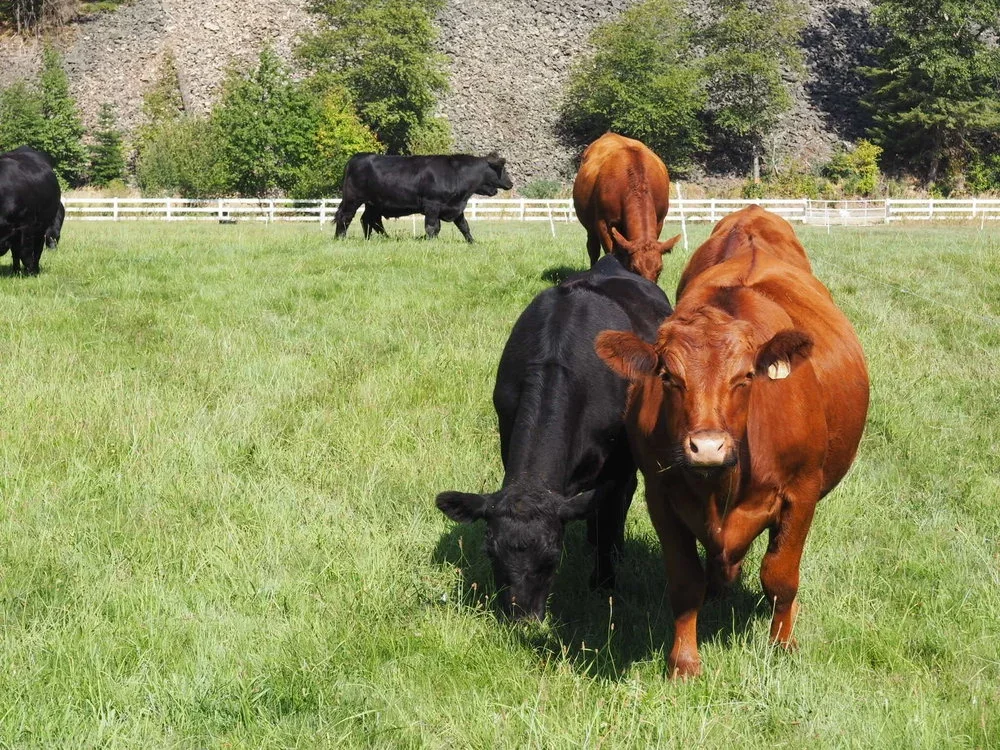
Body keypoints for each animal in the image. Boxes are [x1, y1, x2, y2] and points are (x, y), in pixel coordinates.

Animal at [0, 146, 61, 275]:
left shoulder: (26, 225)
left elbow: (25, 252)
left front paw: (30, 271)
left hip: (41, 226)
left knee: (37, 248)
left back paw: (34, 269)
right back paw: (16, 271)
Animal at [335, 152, 514, 242]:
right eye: (502, 169)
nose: (510, 183)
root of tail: (356, 157)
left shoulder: (456, 207)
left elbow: (464, 227)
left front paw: (472, 242)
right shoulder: (432, 205)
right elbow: (432, 227)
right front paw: (428, 241)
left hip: (373, 204)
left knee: (369, 220)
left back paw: (376, 239)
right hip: (353, 199)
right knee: (345, 217)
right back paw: (340, 238)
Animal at [436, 254, 673, 621]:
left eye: (552, 555)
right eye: (491, 551)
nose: (521, 616)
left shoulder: (618, 464)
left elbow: (608, 515)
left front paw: (604, 582)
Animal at [572, 132, 681, 282]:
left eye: (659, 270)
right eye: (634, 269)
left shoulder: (659, 222)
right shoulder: (603, 224)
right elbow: (611, 254)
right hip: (590, 227)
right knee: (593, 249)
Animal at [595, 206, 869, 678]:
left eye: (744, 377)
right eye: (668, 377)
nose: (707, 447)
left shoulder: (802, 492)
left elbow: (780, 575)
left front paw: (782, 644)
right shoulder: (660, 495)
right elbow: (685, 583)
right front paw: (684, 662)